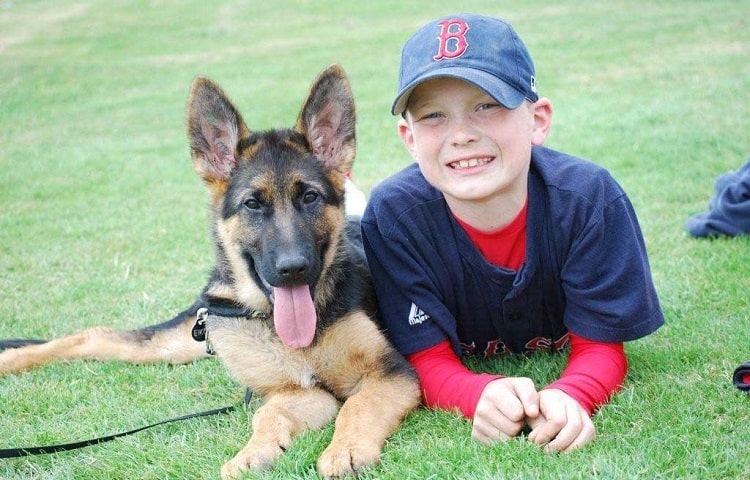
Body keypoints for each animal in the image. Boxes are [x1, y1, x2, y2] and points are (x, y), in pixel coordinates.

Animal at [0, 65, 424, 478]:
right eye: (253, 204)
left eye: (310, 197)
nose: (293, 269)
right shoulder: (296, 390)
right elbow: (268, 415)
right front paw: (253, 453)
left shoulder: (386, 375)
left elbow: (355, 406)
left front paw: (344, 450)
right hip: (183, 338)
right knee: (95, 336)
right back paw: (12, 361)